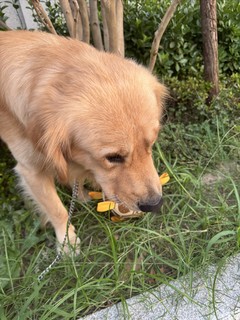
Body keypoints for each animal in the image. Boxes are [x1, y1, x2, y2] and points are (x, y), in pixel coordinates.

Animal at [0, 30, 167, 249]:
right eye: (113, 157)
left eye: (151, 144)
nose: (155, 204)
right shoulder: (31, 170)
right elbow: (57, 210)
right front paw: (67, 243)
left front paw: (80, 196)